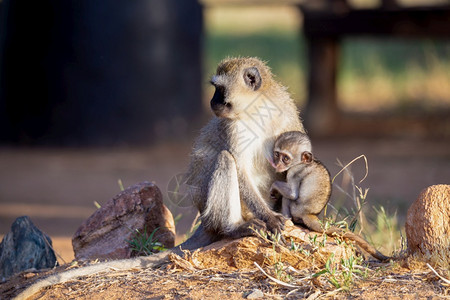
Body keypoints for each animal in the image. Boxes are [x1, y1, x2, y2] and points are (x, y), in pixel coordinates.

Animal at [268, 131, 388, 260]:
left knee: (288, 198)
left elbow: (292, 193)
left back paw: (287, 218)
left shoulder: (294, 171)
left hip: (296, 209)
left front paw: (274, 187)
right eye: (277, 154)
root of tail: (309, 214)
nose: (277, 164)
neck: (304, 162)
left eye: (285, 158)